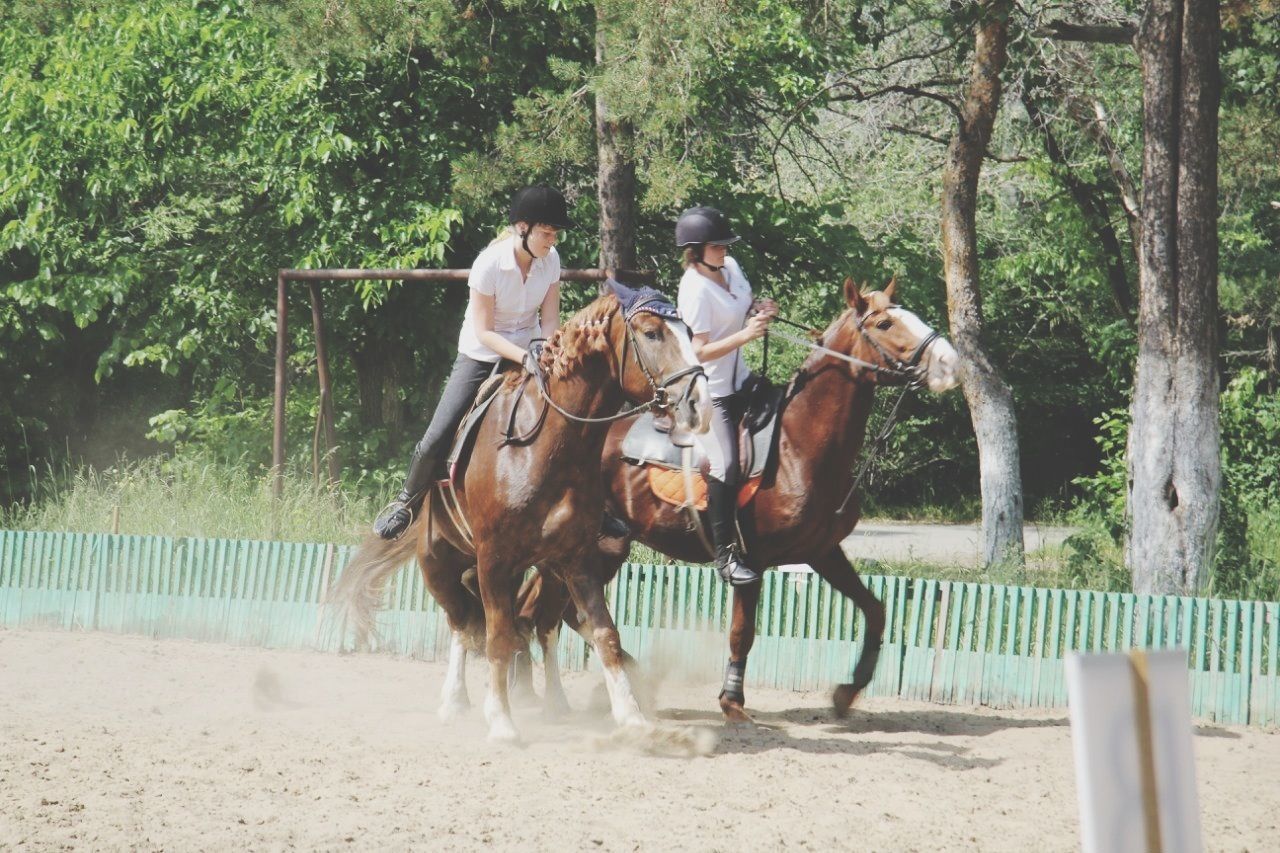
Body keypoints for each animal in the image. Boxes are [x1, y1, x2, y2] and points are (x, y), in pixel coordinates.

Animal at [327, 284, 711, 737]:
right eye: (652, 333)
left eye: (689, 332)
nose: (699, 406)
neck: (548, 447)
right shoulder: (494, 557)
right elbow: (497, 637)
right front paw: (501, 722)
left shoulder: (578, 558)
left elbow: (604, 633)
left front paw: (631, 715)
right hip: (437, 562)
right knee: (461, 623)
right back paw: (454, 699)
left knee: (516, 623)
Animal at [514, 275, 957, 722]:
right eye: (884, 323)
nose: (949, 361)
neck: (799, 444)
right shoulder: (752, 561)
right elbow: (743, 632)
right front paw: (732, 700)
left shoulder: (823, 552)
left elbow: (876, 610)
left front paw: (848, 691)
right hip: (594, 550)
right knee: (550, 614)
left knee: (549, 614)